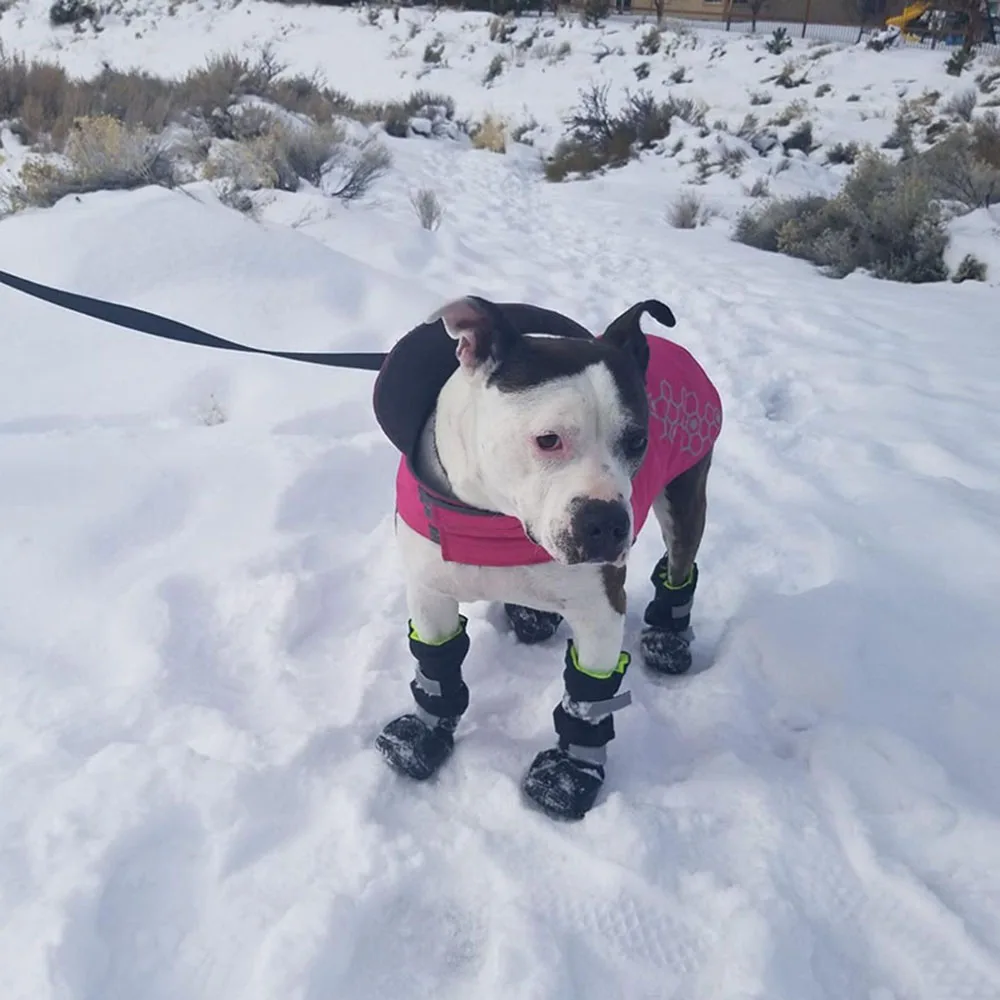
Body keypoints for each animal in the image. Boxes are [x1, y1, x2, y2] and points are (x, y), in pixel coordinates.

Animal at [372, 294, 724, 820]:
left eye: (639, 440)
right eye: (548, 439)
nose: (607, 523)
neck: (493, 521)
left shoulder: (601, 610)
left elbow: (588, 696)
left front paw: (568, 775)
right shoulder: (430, 592)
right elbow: (437, 665)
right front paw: (421, 737)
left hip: (686, 495)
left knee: (681, 559)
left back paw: (668, 637)